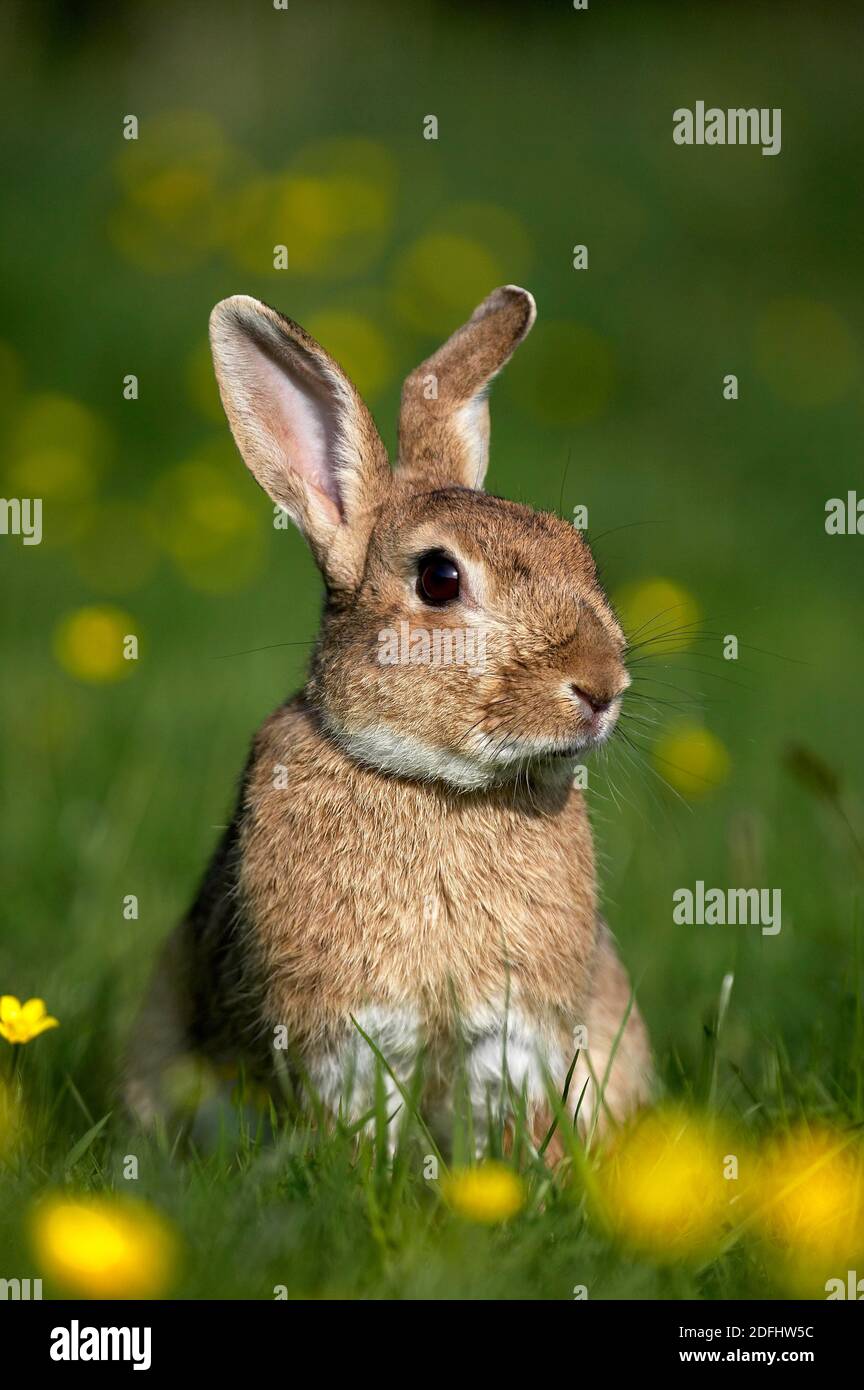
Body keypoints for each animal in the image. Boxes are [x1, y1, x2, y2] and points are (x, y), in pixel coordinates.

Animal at [125, 285, 654, 1156]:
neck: (439, 788)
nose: (602, 686)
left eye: (577, 548)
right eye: (439, 579)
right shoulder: (349, 1031)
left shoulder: (515, 1034)